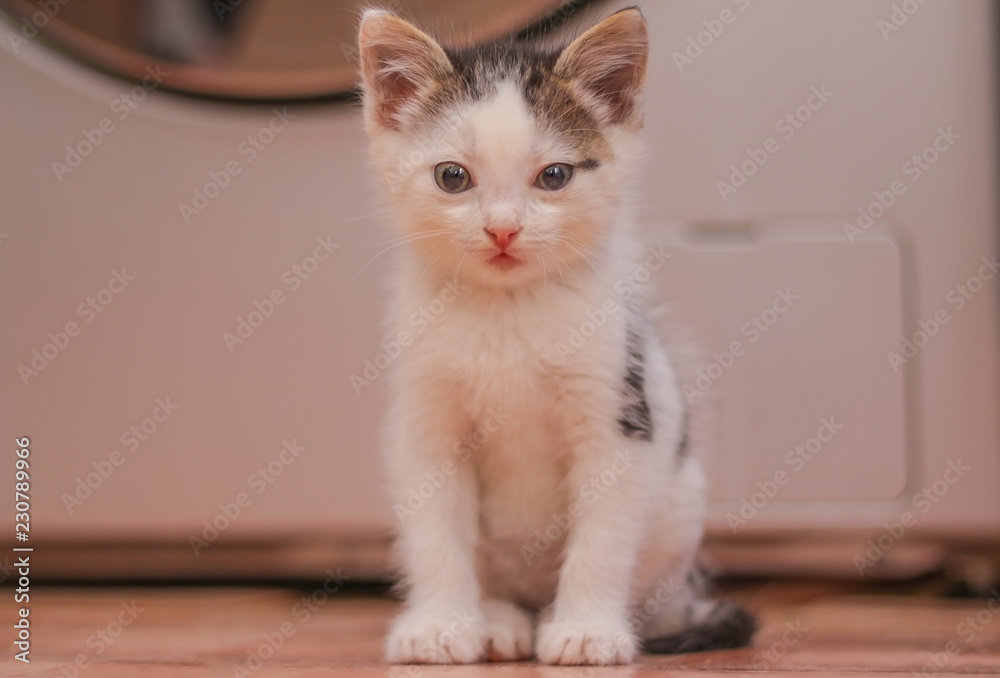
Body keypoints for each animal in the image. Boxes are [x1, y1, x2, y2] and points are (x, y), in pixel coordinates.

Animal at [356, 3, 752, 664]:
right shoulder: (427, 424)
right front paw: (440, 625)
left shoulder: (618, 417)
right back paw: (499, 621)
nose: (502, 230)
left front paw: (588, 629)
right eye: (452, 177)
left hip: (679, 505)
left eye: (556, 176)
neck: (508, 311)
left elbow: (604, 537)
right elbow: (435, 533)